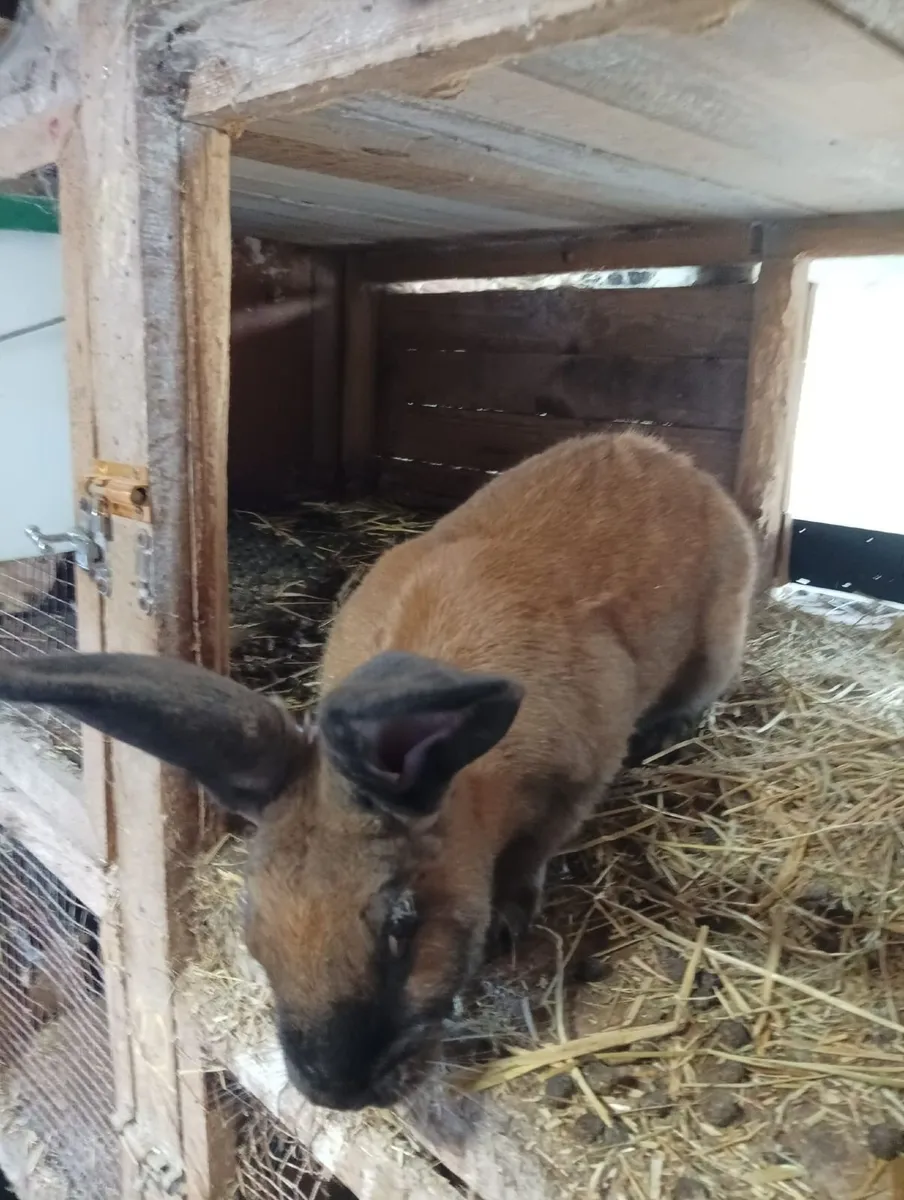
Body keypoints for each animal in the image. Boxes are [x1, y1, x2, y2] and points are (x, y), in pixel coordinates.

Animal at [0, 431, 756, 1112]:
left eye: (401, 924)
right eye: (253, 923)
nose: (336, 1094)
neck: (475, 789)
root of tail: (667, 459)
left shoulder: (575, 787)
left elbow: (529, 859)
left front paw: (509, 923)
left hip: (717, 642)